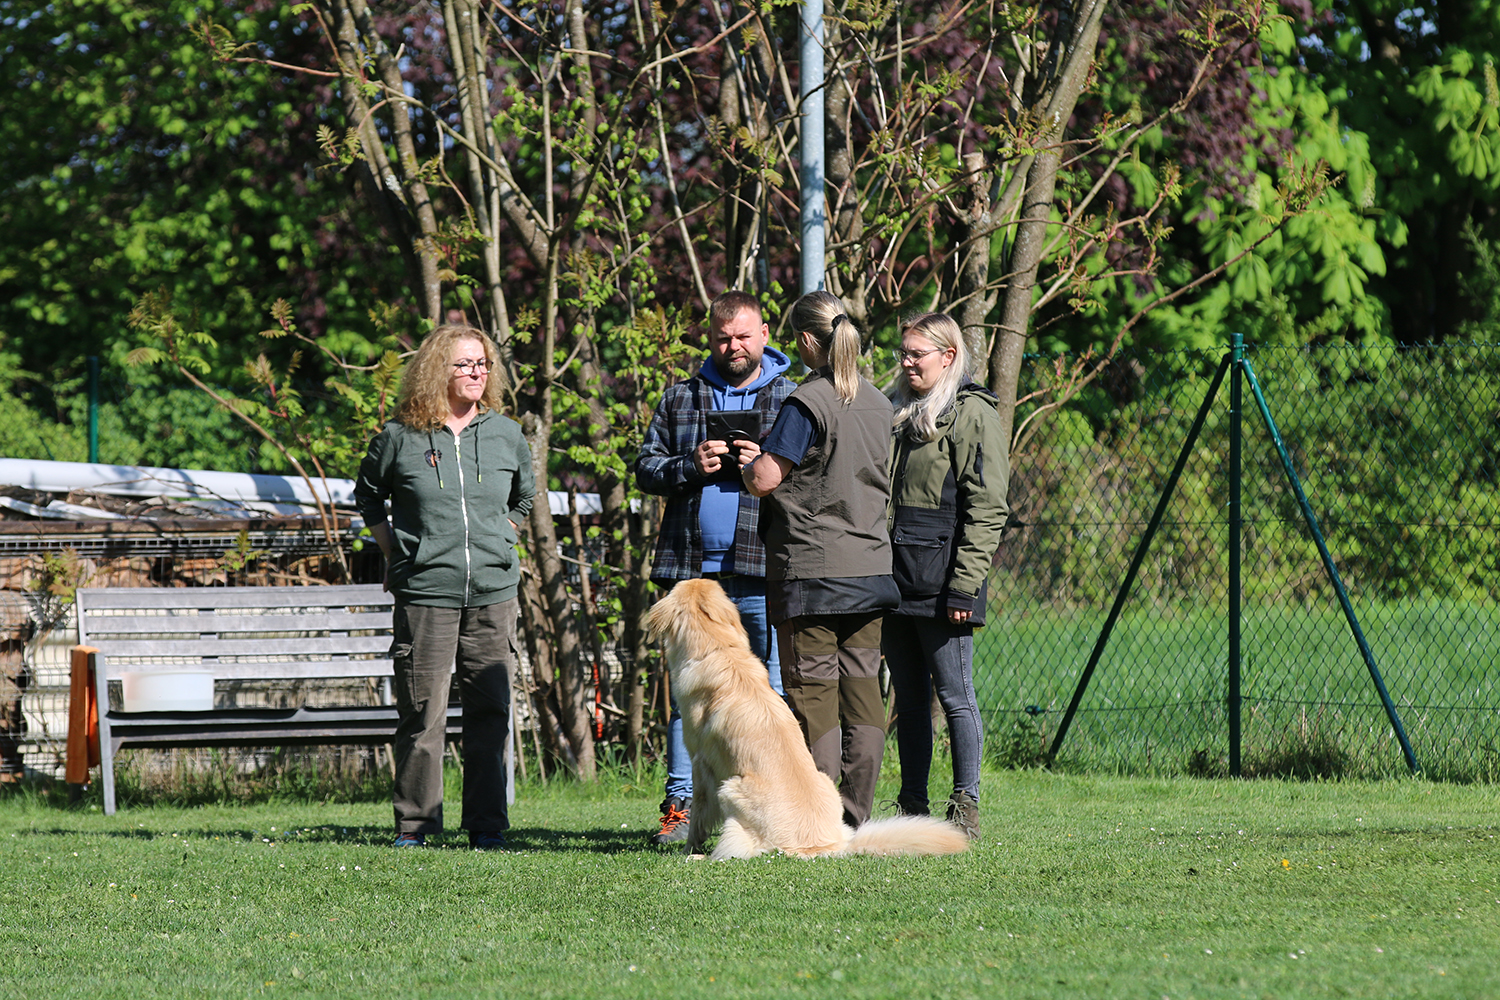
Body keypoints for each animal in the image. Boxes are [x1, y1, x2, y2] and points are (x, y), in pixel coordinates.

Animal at [645, 578, 969, 860]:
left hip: (730, 789)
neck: (718, 650)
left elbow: (699, 814)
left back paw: (700, 857)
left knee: (742, 849)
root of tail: (827, 845)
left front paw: (689, 847)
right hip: (825, 780)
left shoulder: (701, 763)